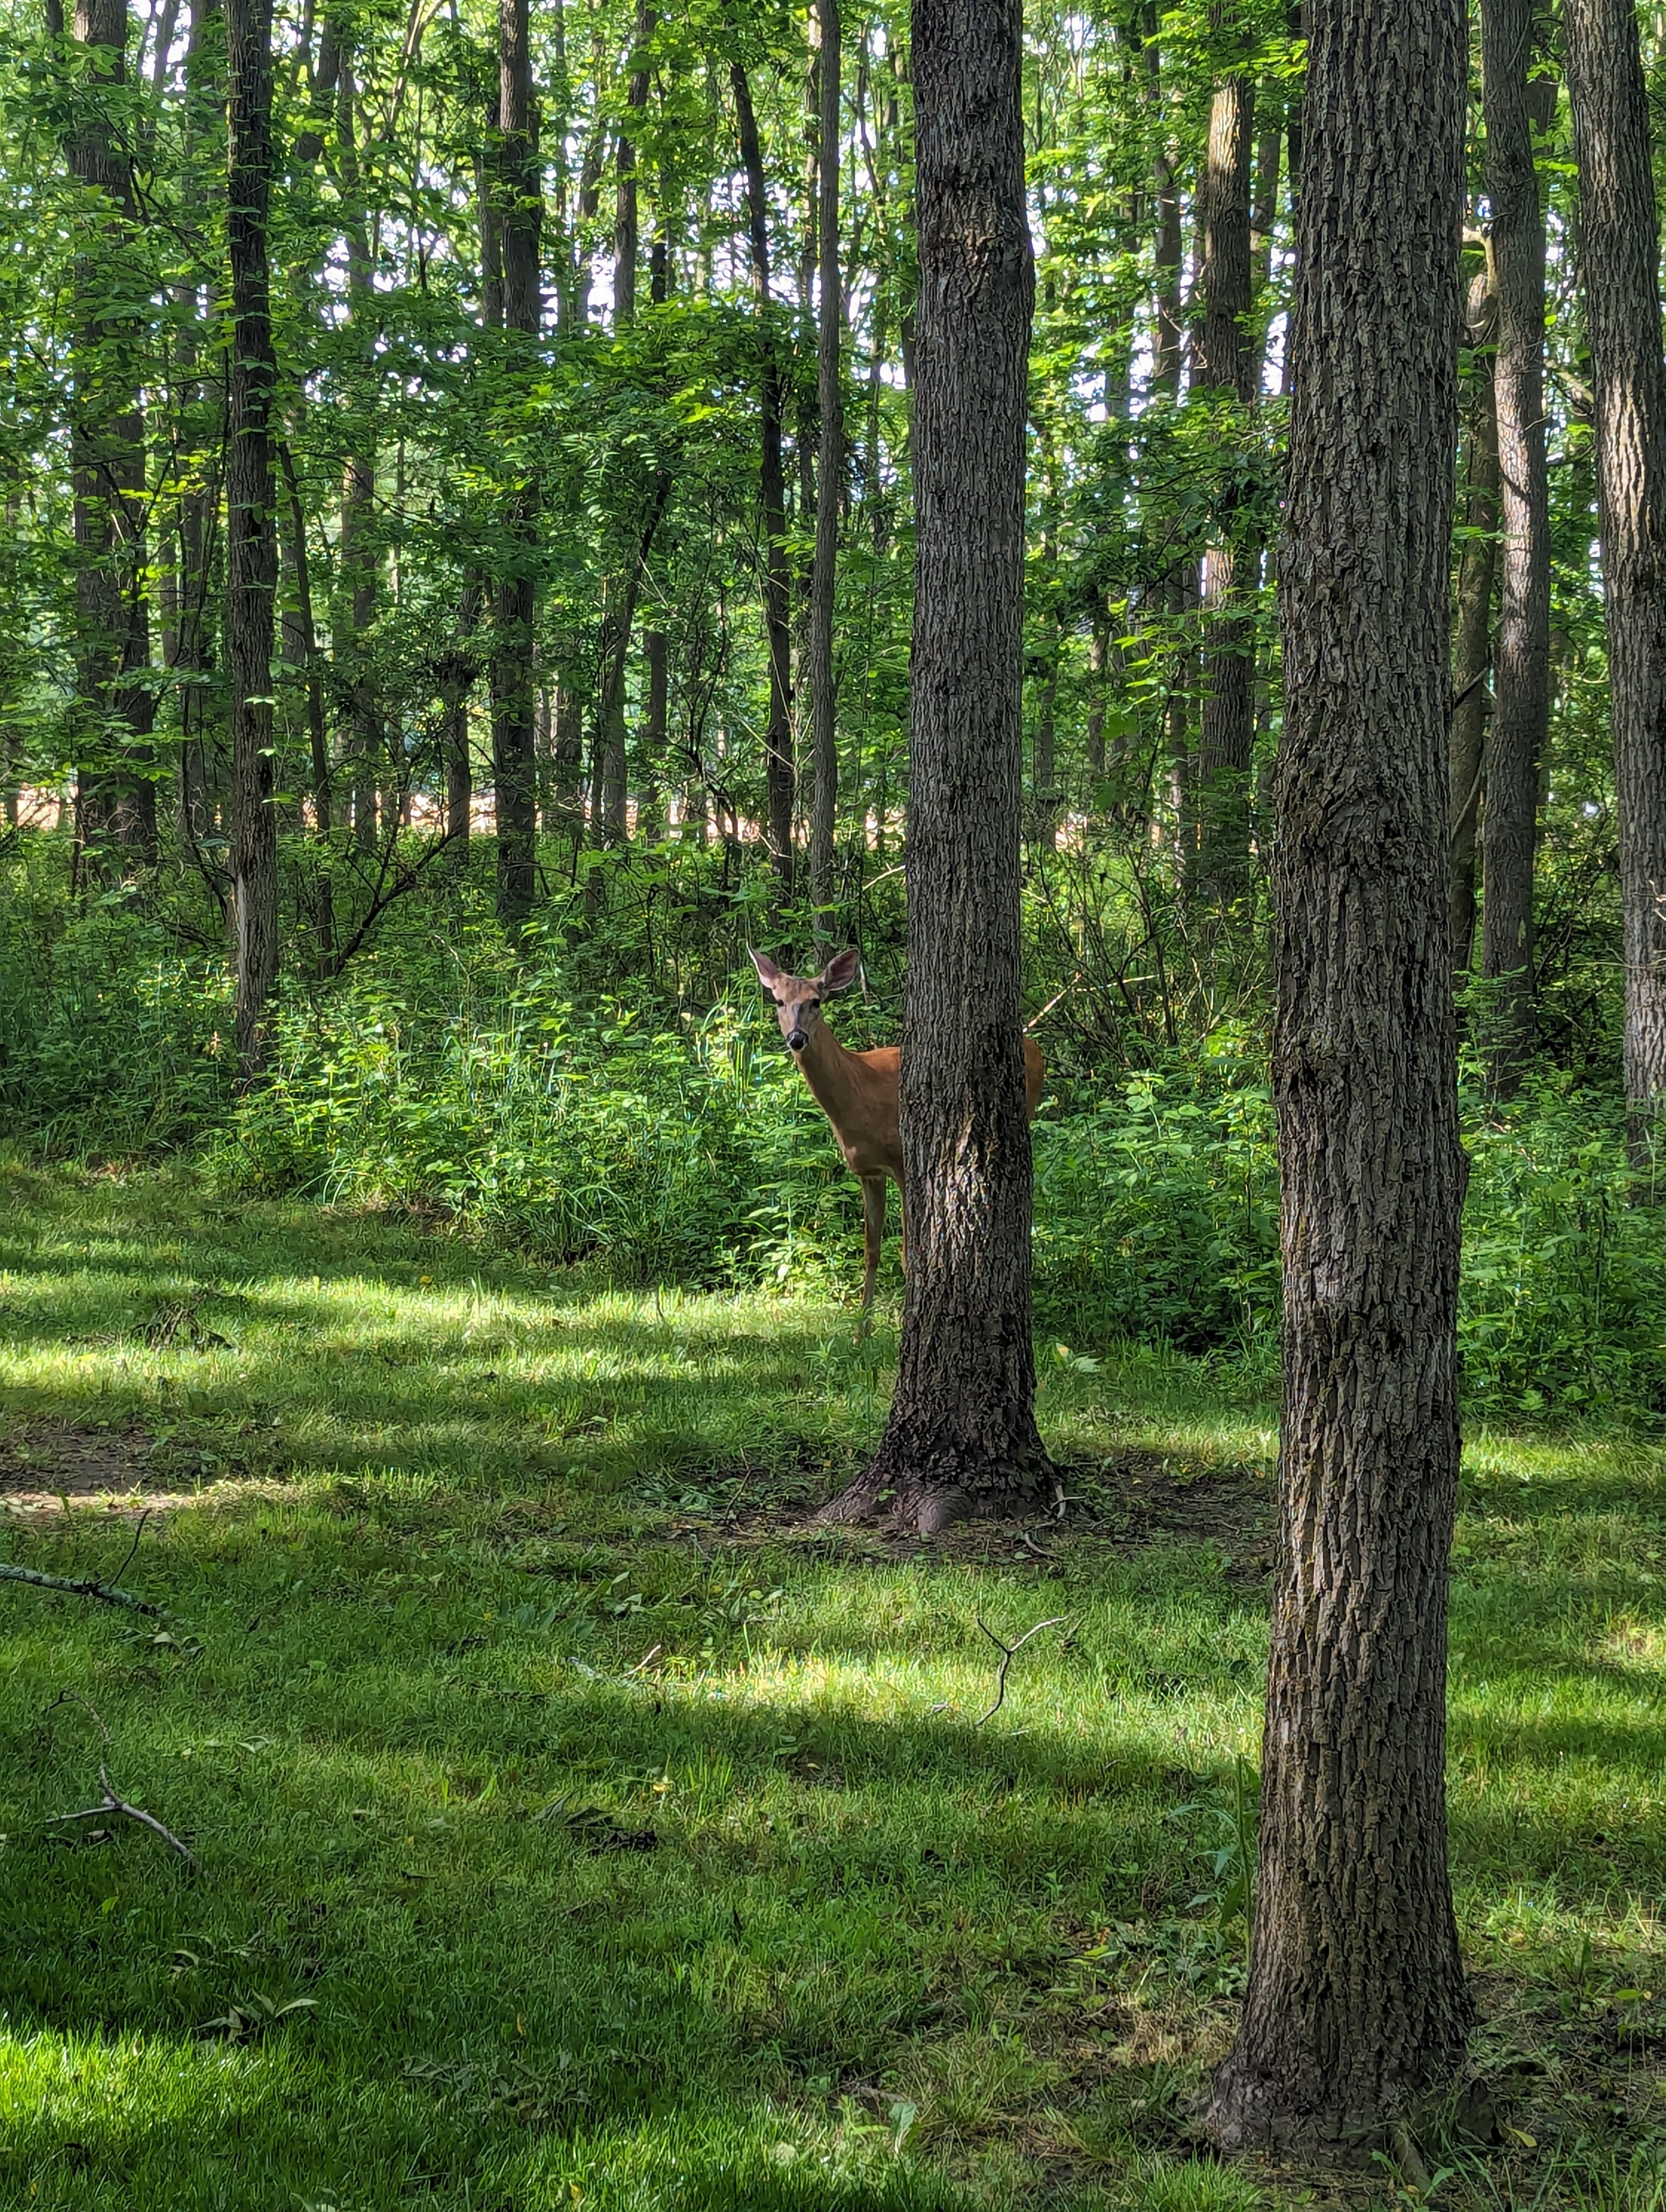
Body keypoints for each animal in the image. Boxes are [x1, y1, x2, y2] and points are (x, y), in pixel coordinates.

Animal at [748, 946, 1045, 1324]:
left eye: (816, 1001)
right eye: (779, 1000)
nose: (797, 1038)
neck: (858, 1095)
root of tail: (1035, 1047)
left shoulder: (904, 1161)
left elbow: (909, 1254)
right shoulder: (869, 1172)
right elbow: (871, 1250)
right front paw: (861, 1330)